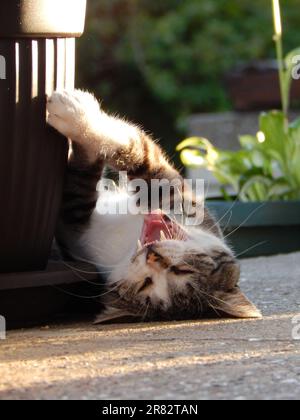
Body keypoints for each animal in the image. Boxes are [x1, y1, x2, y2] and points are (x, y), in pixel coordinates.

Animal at [46, 90, 260, 324]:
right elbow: (133, 154)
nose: (153, 256)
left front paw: (75, 115)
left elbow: (132, 151)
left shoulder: (74, 229)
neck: (127, 242)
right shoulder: (177, 195)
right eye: (182, 270)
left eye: (146, 284)